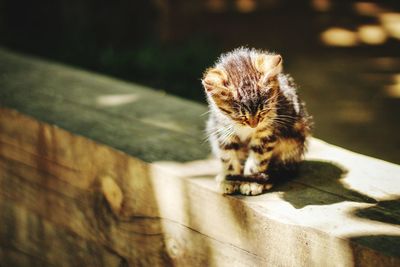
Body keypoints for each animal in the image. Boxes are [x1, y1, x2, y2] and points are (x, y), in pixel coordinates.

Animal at [202, 47, 310, 196]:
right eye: (240, 117)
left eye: (263, 112)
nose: (254, 125)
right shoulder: (223, 129)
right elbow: (228, 156)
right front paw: (230, 179)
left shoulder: (267, 131)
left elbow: (258, 158)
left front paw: (250, 182)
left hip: (292, 142)